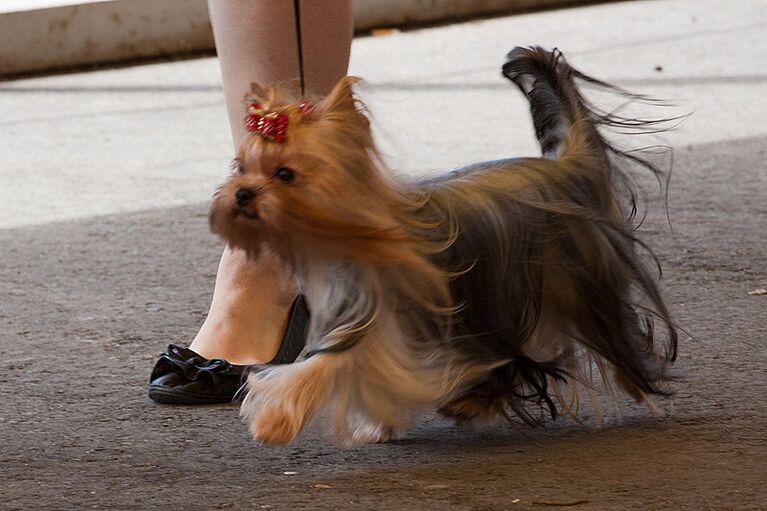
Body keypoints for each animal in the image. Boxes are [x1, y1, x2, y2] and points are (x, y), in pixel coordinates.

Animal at [208, 49, 680, 448]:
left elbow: (322, 366)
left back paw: (634, 385)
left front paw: (273, 422)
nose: (242, 194)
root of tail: (567, 163)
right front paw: (376, 425)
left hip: (572, 286)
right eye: (240, 168)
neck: (344, 236)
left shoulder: (379, 318)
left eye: (285, 174)